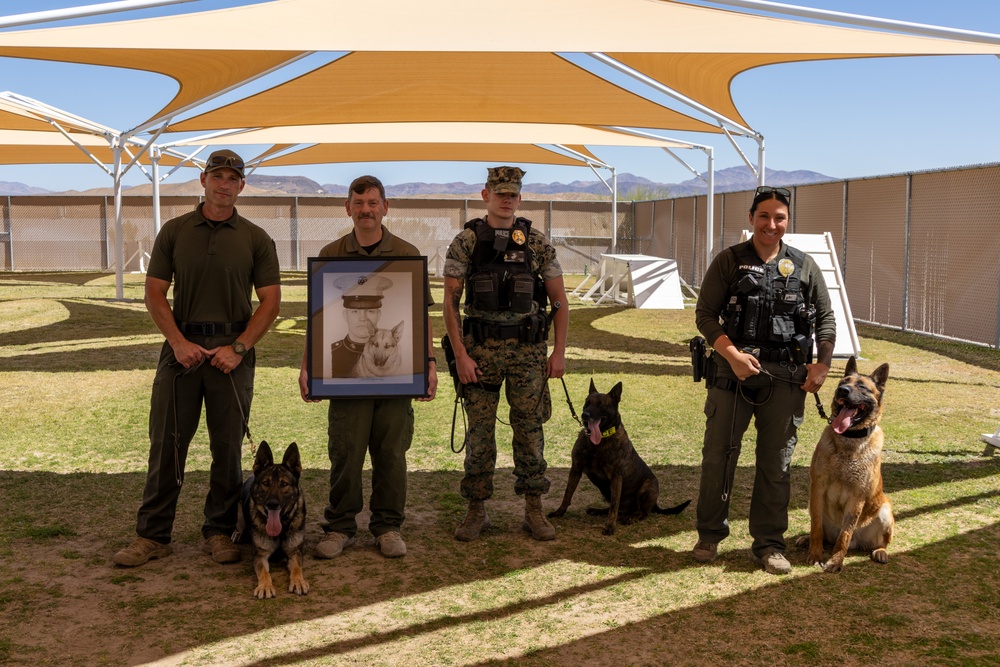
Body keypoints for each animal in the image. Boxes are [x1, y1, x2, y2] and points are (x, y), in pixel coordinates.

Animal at [234, 444, 308, 600]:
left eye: (284, 484)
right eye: (266, 483)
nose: (272, 504)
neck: (281, 527)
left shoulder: (295, 552)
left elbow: (297, 568)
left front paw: (298, 581)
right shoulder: (260, 555)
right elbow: (264, 572)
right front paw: (265, 586)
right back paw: (238, 533)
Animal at [548, 378, 688, 536]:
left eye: (602, 405)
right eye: (587, 402)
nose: (585, 415)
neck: (599, 441)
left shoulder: (616, 478)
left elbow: (614, 506)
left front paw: (610, 526)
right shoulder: (576, 469)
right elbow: (567, 494)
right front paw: (559, 512)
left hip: (647, 486)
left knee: (642, 512)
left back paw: (632, 517)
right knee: (618, 508)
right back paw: (599, 511)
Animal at [796, 360, 900, 576]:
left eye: (862, 387)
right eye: (843, 382)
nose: (842, 391)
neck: (848, 441)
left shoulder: (856, 497)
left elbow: (844, 535)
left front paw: (836, 562)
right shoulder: (817, 488)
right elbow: (816, 526)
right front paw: (815, 554)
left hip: (885, 511)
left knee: (878, 542)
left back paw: (880, 552)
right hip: (811, 503)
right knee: (822, 533)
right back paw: (806, 539)